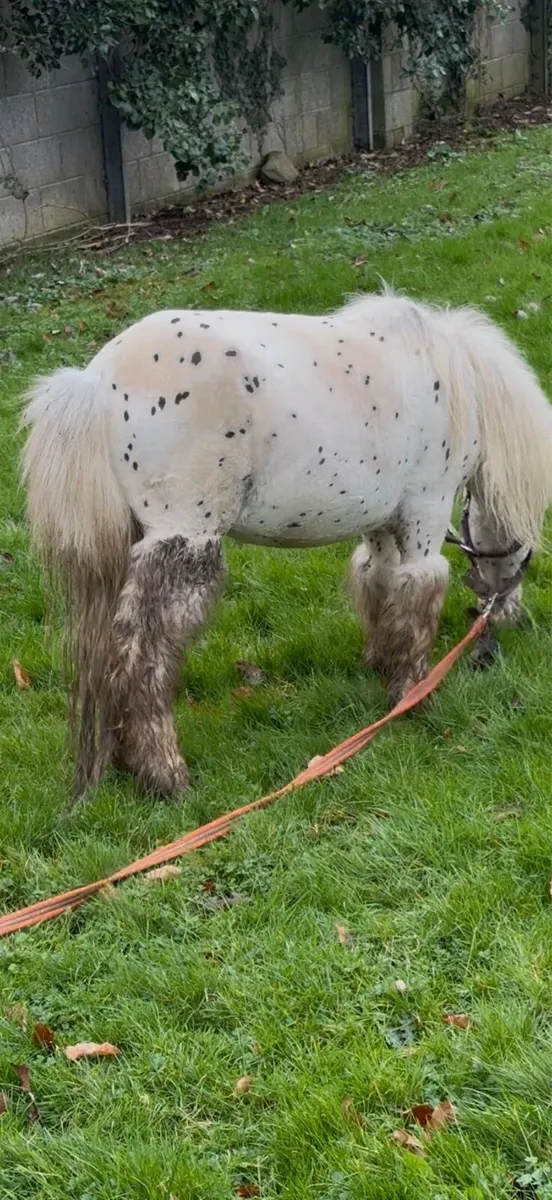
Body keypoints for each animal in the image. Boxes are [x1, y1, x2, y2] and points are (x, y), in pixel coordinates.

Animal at [22, 290, 552, 799]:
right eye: (526, 547)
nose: (509, 619)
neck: (456, 380)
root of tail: (94, 383)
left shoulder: (383, 526)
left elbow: (381, 590)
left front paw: (380, 667)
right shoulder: (424, 515)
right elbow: (418, 604)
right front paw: (412, 697)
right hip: (185, 543)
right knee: (142, 660)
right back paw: (166, 779)